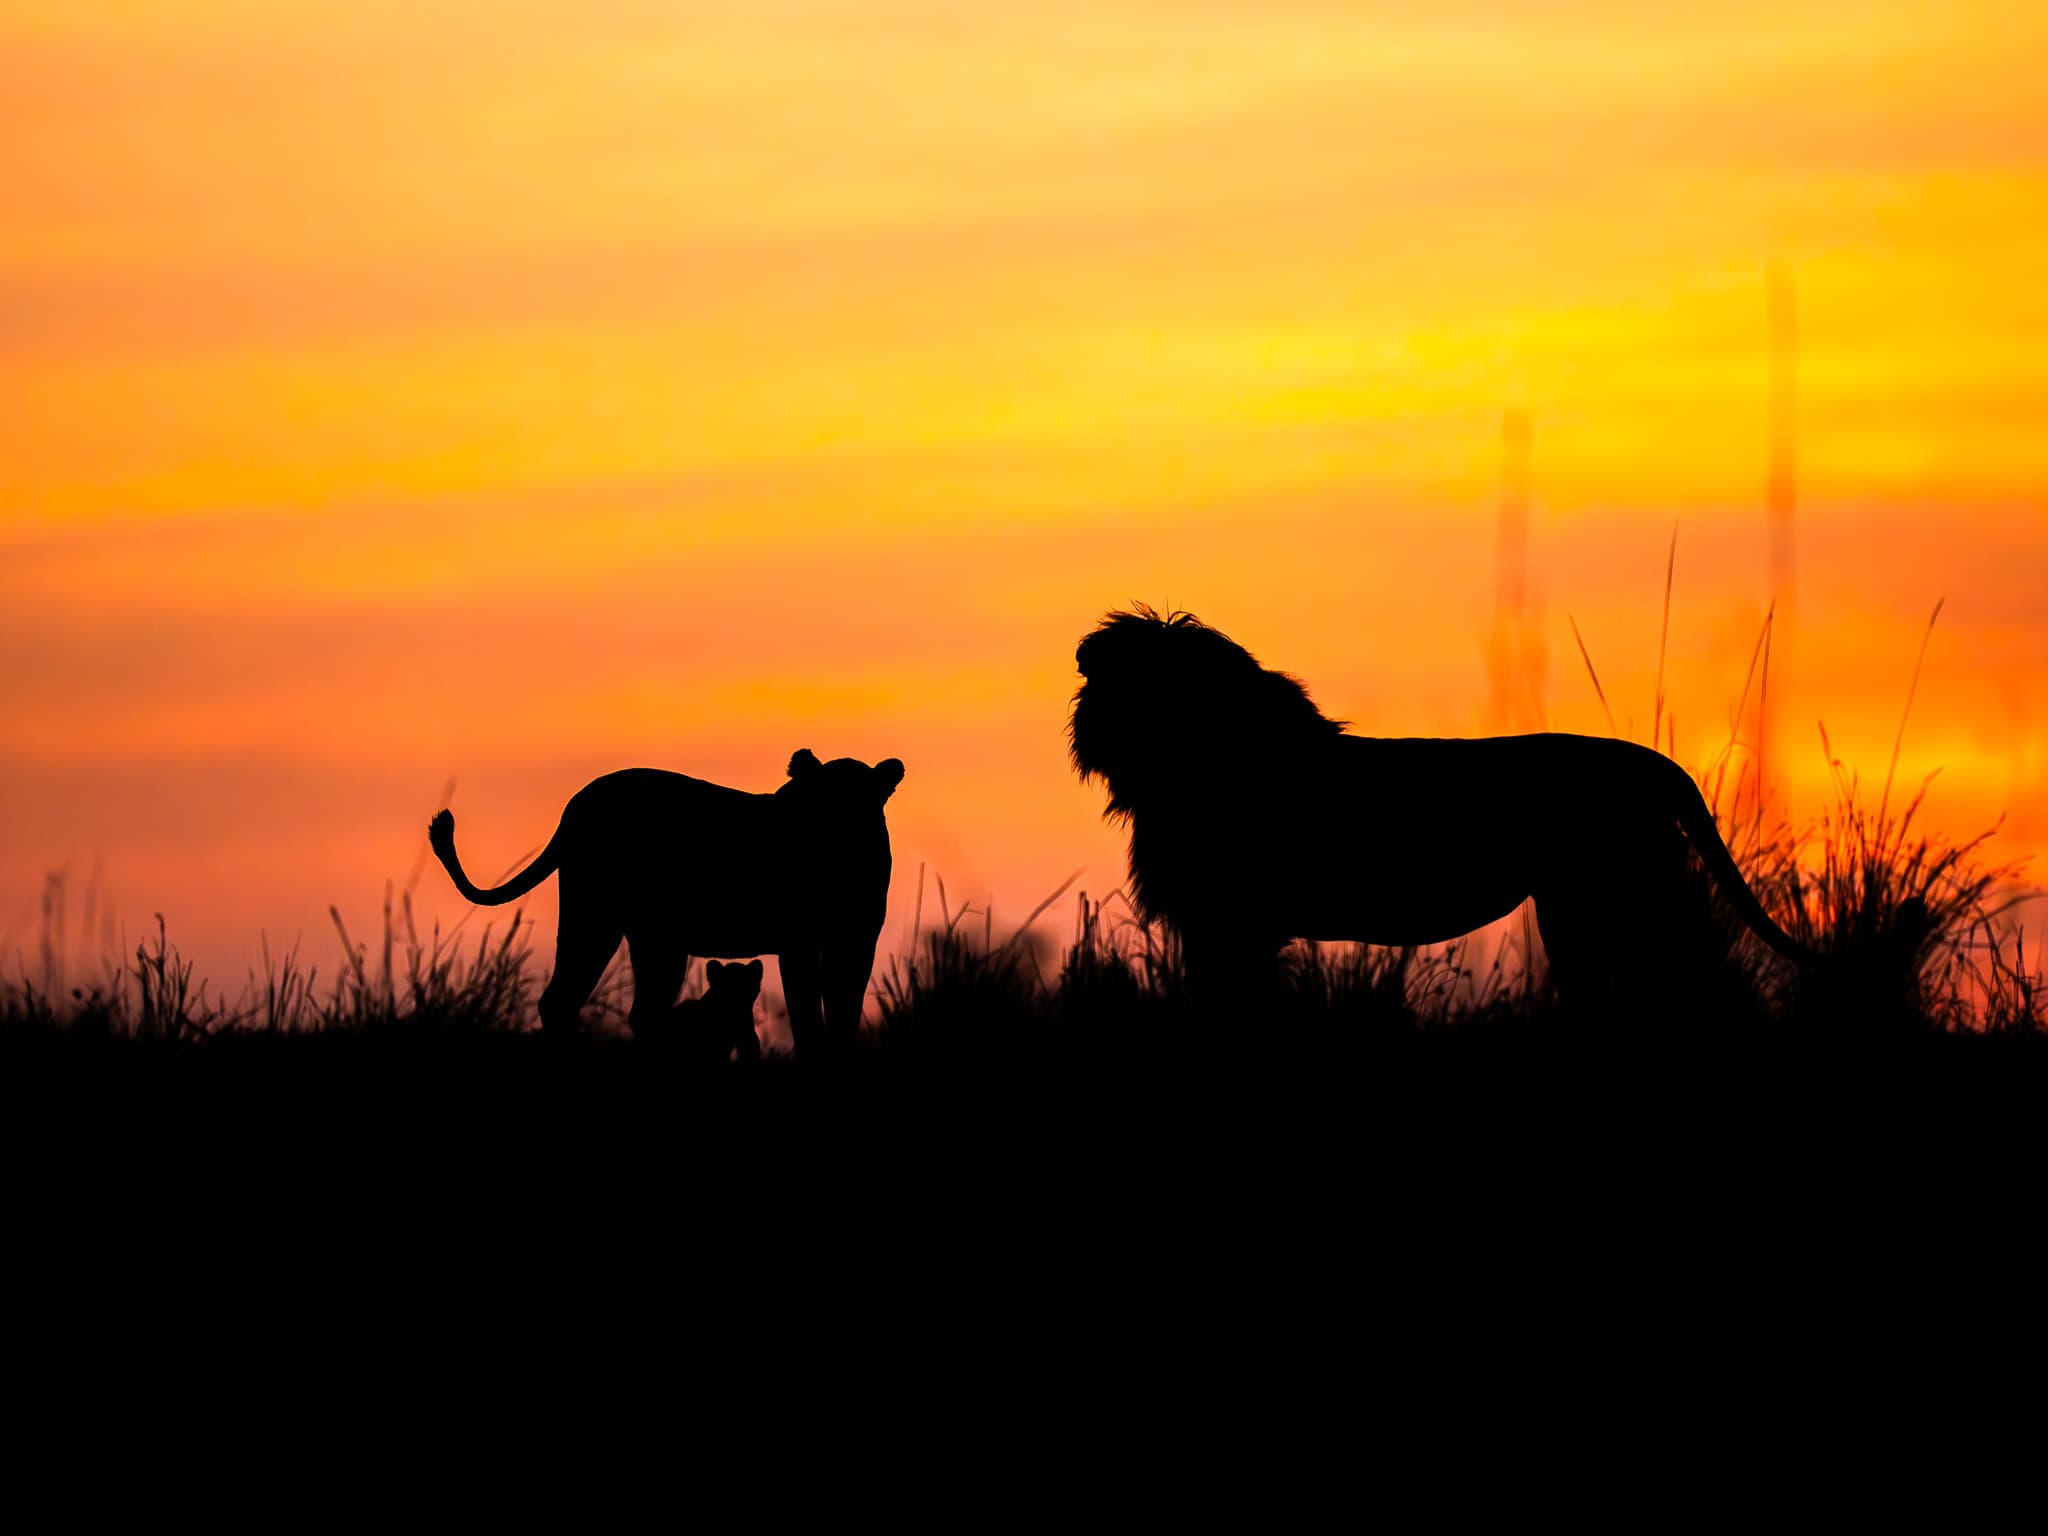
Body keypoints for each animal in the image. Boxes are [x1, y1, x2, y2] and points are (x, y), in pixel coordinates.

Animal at [429, 749, 904, 1051]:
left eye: (864, 804)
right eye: (822, 803)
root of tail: (576, 806)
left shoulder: (859, 939)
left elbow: (845, 1006)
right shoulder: (798, 942)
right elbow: (808, 1012)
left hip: (649, 939)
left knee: (632, 1010)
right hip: (597, 917)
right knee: (567, 1001)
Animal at [1067, 606, 1817, 1009]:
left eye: (1168, 681)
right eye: (1127, 677)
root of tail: (1651, 765)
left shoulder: (1234, 924)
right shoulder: (1219, 927)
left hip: (1612, 900)